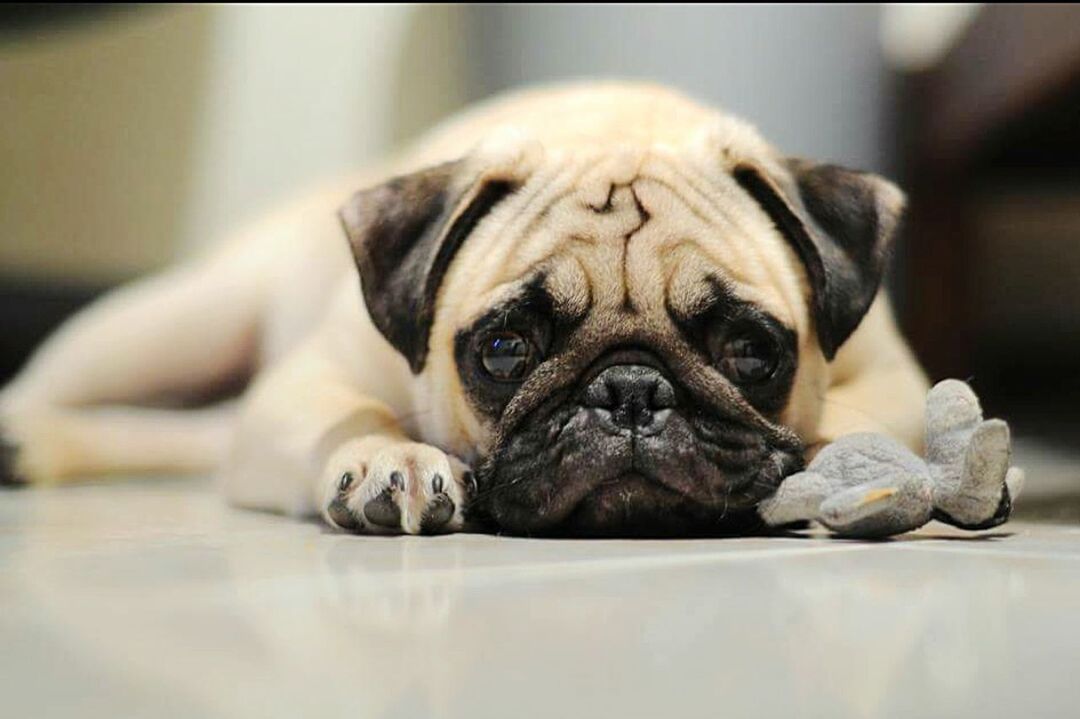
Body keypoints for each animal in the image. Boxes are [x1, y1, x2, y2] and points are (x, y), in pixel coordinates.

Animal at [0, 80, 928, 535]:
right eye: (505, 350)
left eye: (749, 352)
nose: (630, 391)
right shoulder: (302, 388)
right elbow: (356, 414)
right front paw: (387, 457)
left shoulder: (896, 380)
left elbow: (853, 420)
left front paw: (853, 467)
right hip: (170, 326)